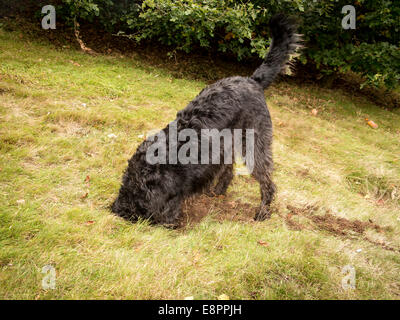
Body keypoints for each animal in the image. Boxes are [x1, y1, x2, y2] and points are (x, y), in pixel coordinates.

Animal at [112, 13, 300, 226]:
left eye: (137, 200)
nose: (119, 210)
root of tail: (253, 81)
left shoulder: (175, 191)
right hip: (229, 144)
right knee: (228, 170)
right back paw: (218, 191)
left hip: (255, 145)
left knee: (267, 180)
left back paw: (263, 211)